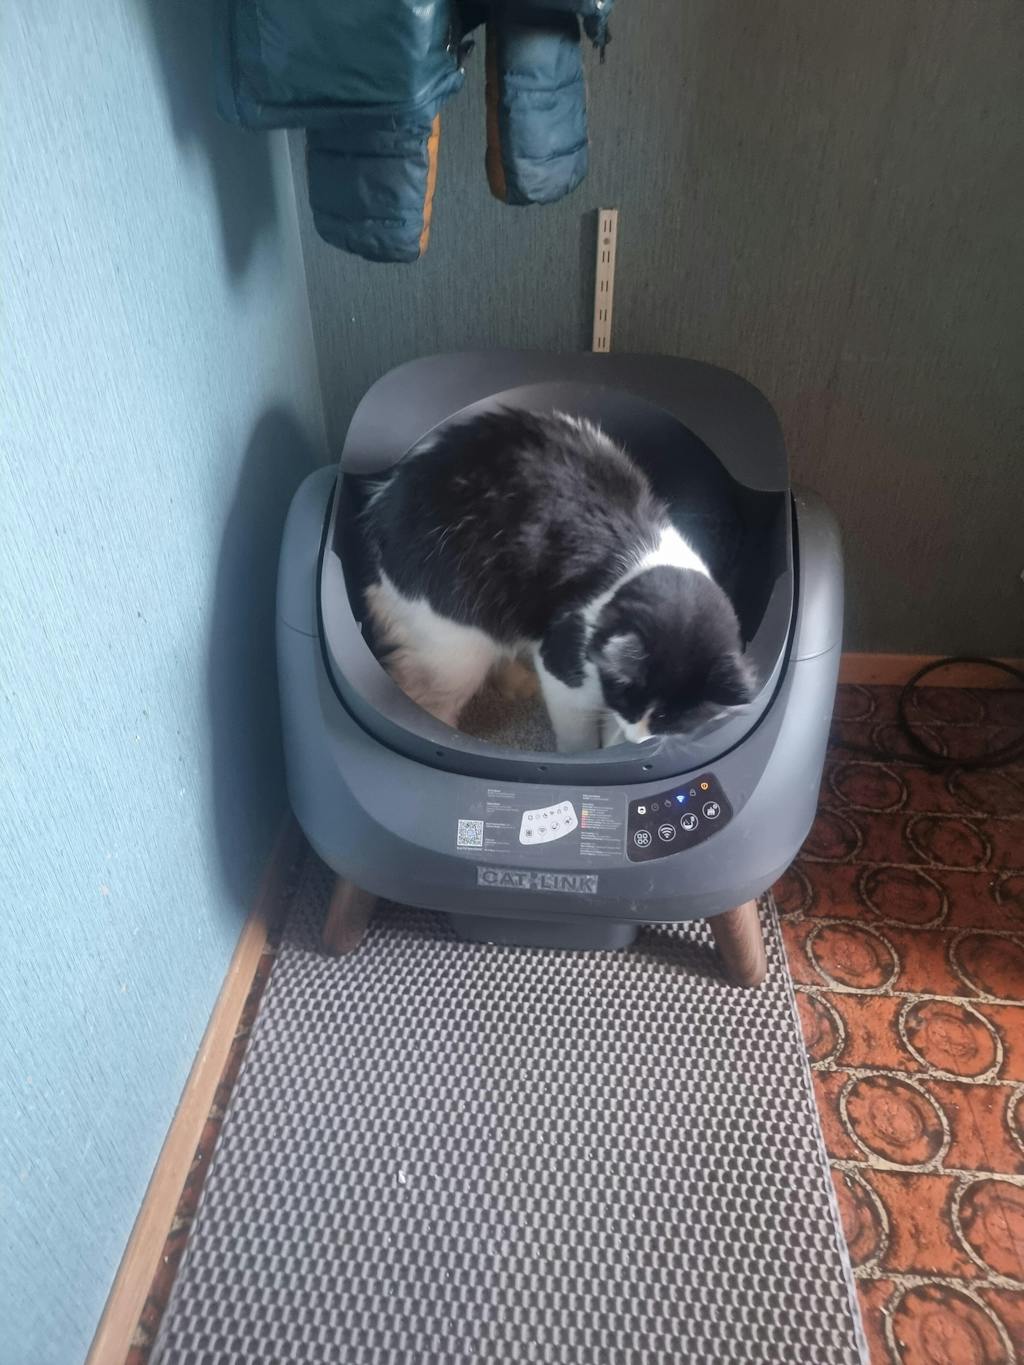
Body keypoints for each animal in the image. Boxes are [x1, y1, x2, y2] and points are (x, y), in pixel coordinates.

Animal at [362, 408, 756, 752]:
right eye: (632, 701)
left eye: (671, 720)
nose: (636, 739)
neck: (639, 558)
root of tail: (380, 509)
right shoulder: (563, 670)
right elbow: (577, 738)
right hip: (456, 648)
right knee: (425, 696)